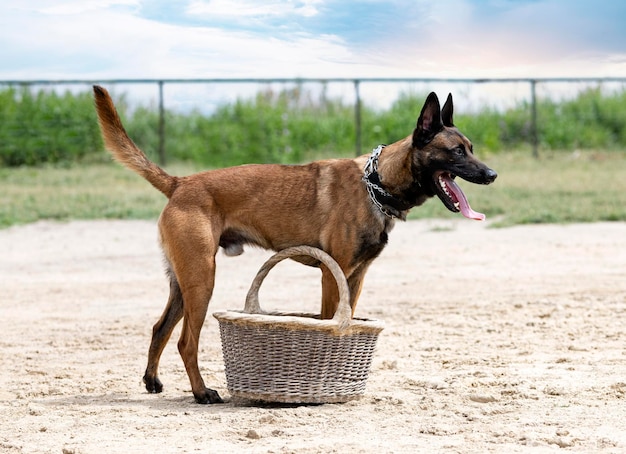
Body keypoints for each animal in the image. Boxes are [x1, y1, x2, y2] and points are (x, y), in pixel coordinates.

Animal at [92, 83, 494, 402]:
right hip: (202, 281)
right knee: (185, 342)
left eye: (471, 147)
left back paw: (152, 381)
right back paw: (202, 392)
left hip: (183, 283)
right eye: (457, 151)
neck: (377, 182)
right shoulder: (333, 275)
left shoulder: (356, 278)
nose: (491, 174)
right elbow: (331, 320)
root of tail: (181, 183)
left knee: (160, 329)